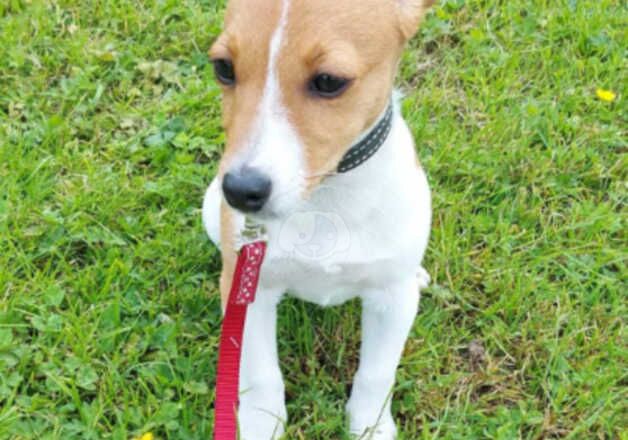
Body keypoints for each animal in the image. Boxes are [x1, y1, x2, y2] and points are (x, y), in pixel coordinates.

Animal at [204, 0, 434, 436]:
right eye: (223, 68)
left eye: (329, 81)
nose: (241, 190)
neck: (325, 198)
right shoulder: (249, 291)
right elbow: (260, 375)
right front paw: (263, 426)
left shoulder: (391, 299)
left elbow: (376, 373)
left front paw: (370, 427)